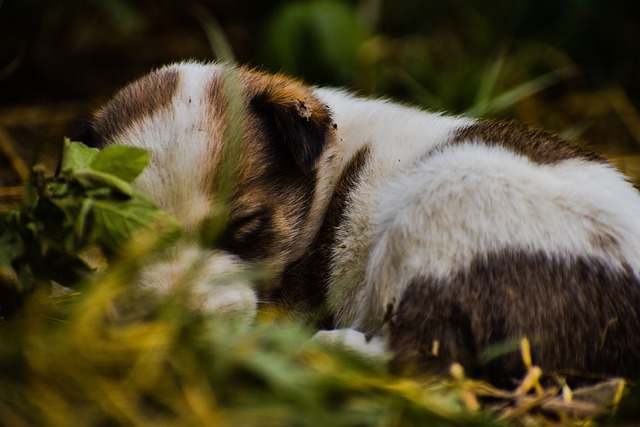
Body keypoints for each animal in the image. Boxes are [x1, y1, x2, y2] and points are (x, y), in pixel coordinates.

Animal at [84, 61, 640, 380]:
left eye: (244, 228)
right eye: (121, 236)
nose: (168, 320)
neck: (326, 167)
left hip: (442, 214)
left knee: (427, 357)